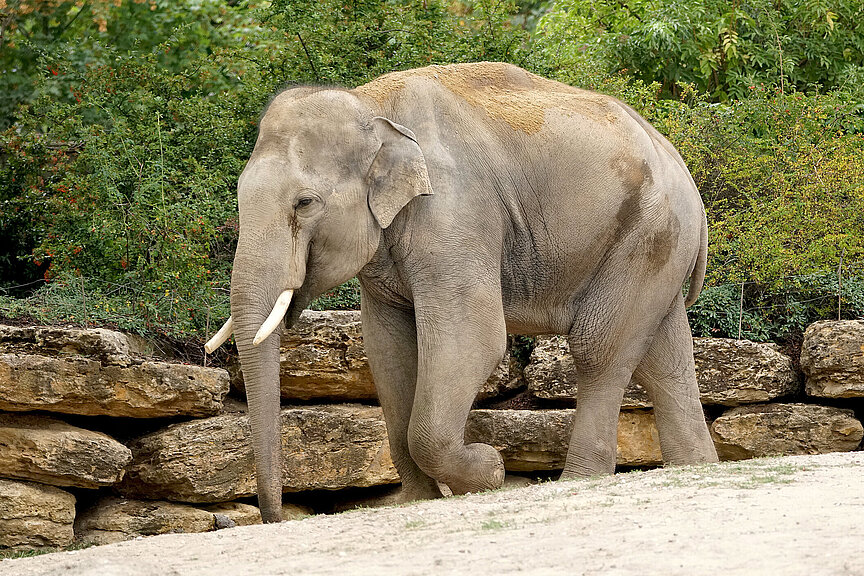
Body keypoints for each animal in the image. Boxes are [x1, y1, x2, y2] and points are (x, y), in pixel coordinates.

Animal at [206, 62, 720, 520]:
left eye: (305, 203)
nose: (273, 515)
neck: (372, 103)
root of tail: (679, 162)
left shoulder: (455, 213)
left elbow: (472, 339)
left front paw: (490, 470)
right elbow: (388, 353)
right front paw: (420, 500)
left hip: (646, 231)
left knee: (599, 350)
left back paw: (579, 479)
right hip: (657, 243)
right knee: (662, 359)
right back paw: (695, 467)